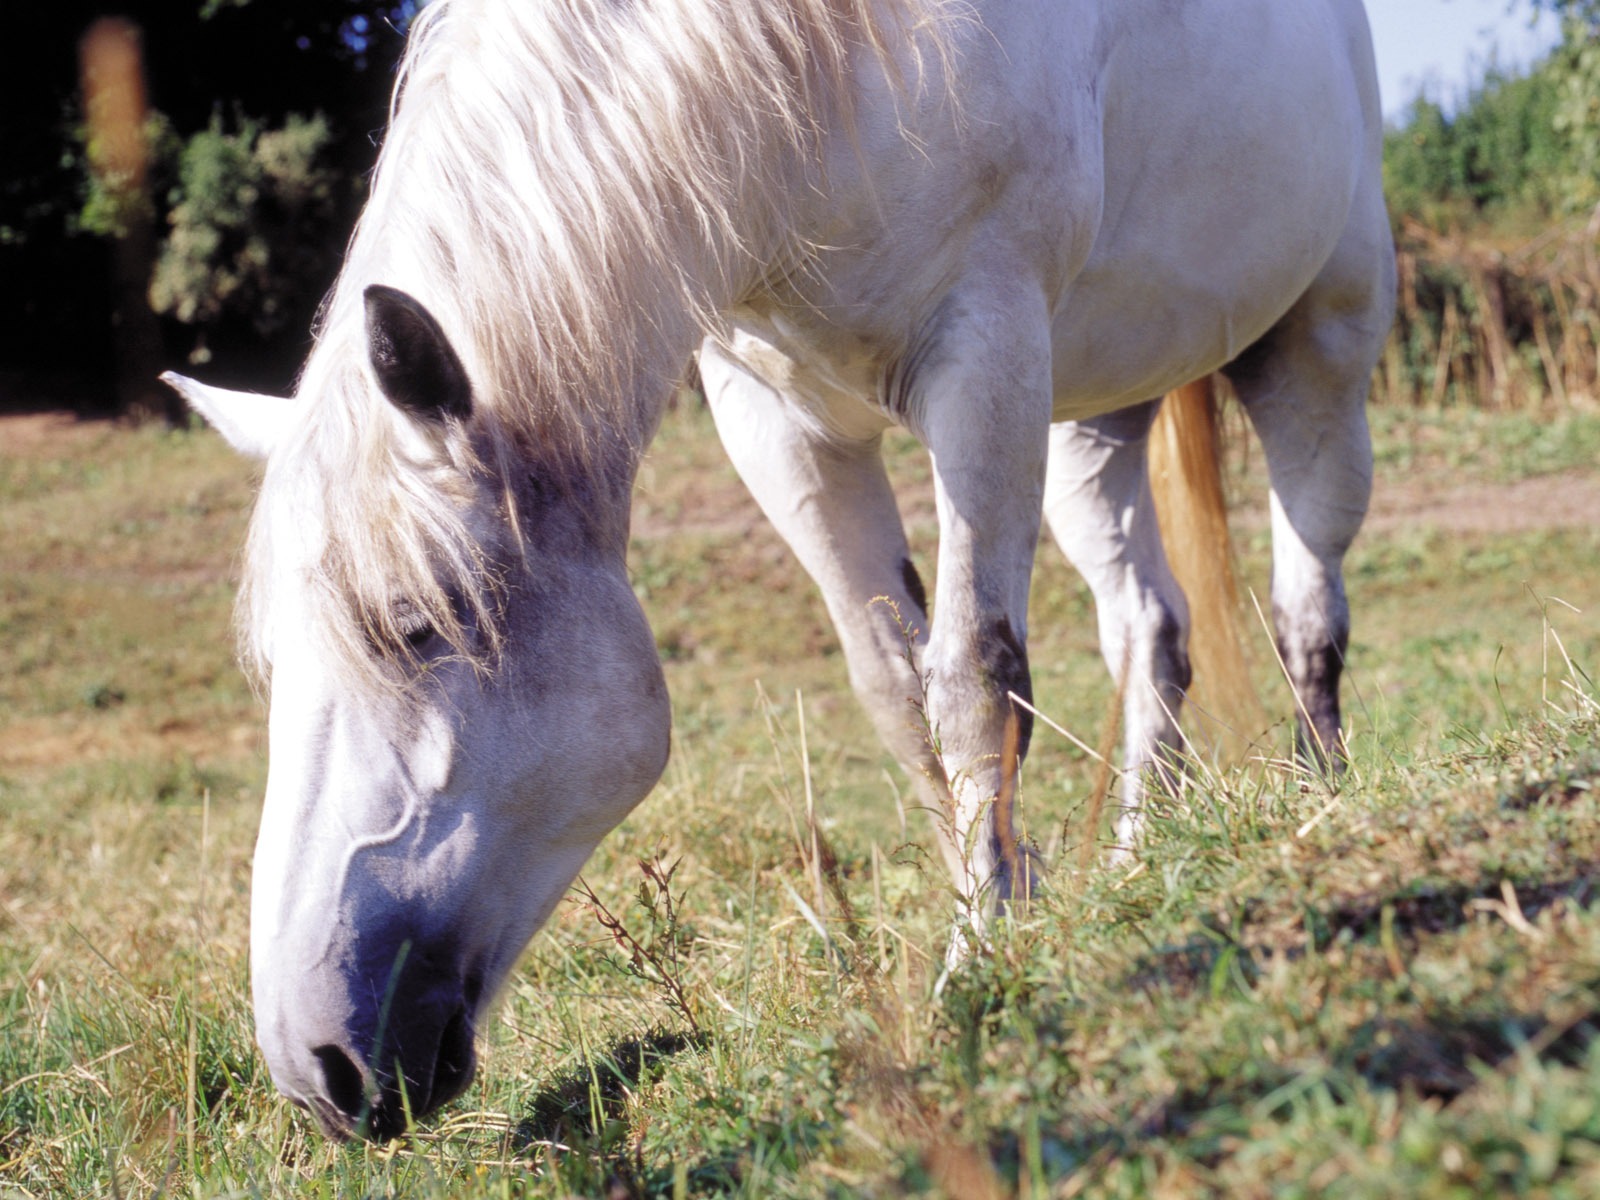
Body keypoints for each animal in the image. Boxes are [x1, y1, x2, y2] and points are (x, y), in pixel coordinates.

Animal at [162, 0, 1388, 1139]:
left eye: (416, 624)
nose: (320, 1072)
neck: (822, 67)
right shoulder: (780, 422)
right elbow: (899, 694)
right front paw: (1005, 894)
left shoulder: (986, 350)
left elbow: (974, 678)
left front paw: (982, 957)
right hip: (1099, 412)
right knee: (1149, 627)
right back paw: (1139, 853)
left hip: (1318, 337)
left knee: (1307, 598)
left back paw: (1322, 796)